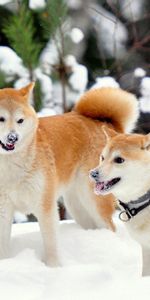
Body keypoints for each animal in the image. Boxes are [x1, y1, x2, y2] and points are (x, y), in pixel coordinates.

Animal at [0, 83, 138, 266]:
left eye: (20, 120)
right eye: (1, 119)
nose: (12, 137)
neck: (10, 165)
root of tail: (105, 123)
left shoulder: (45, 206)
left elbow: (50, 244)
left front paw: (53, 267)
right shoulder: (3, 209)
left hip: (93, 201)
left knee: (110, 227)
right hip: (77, 206)